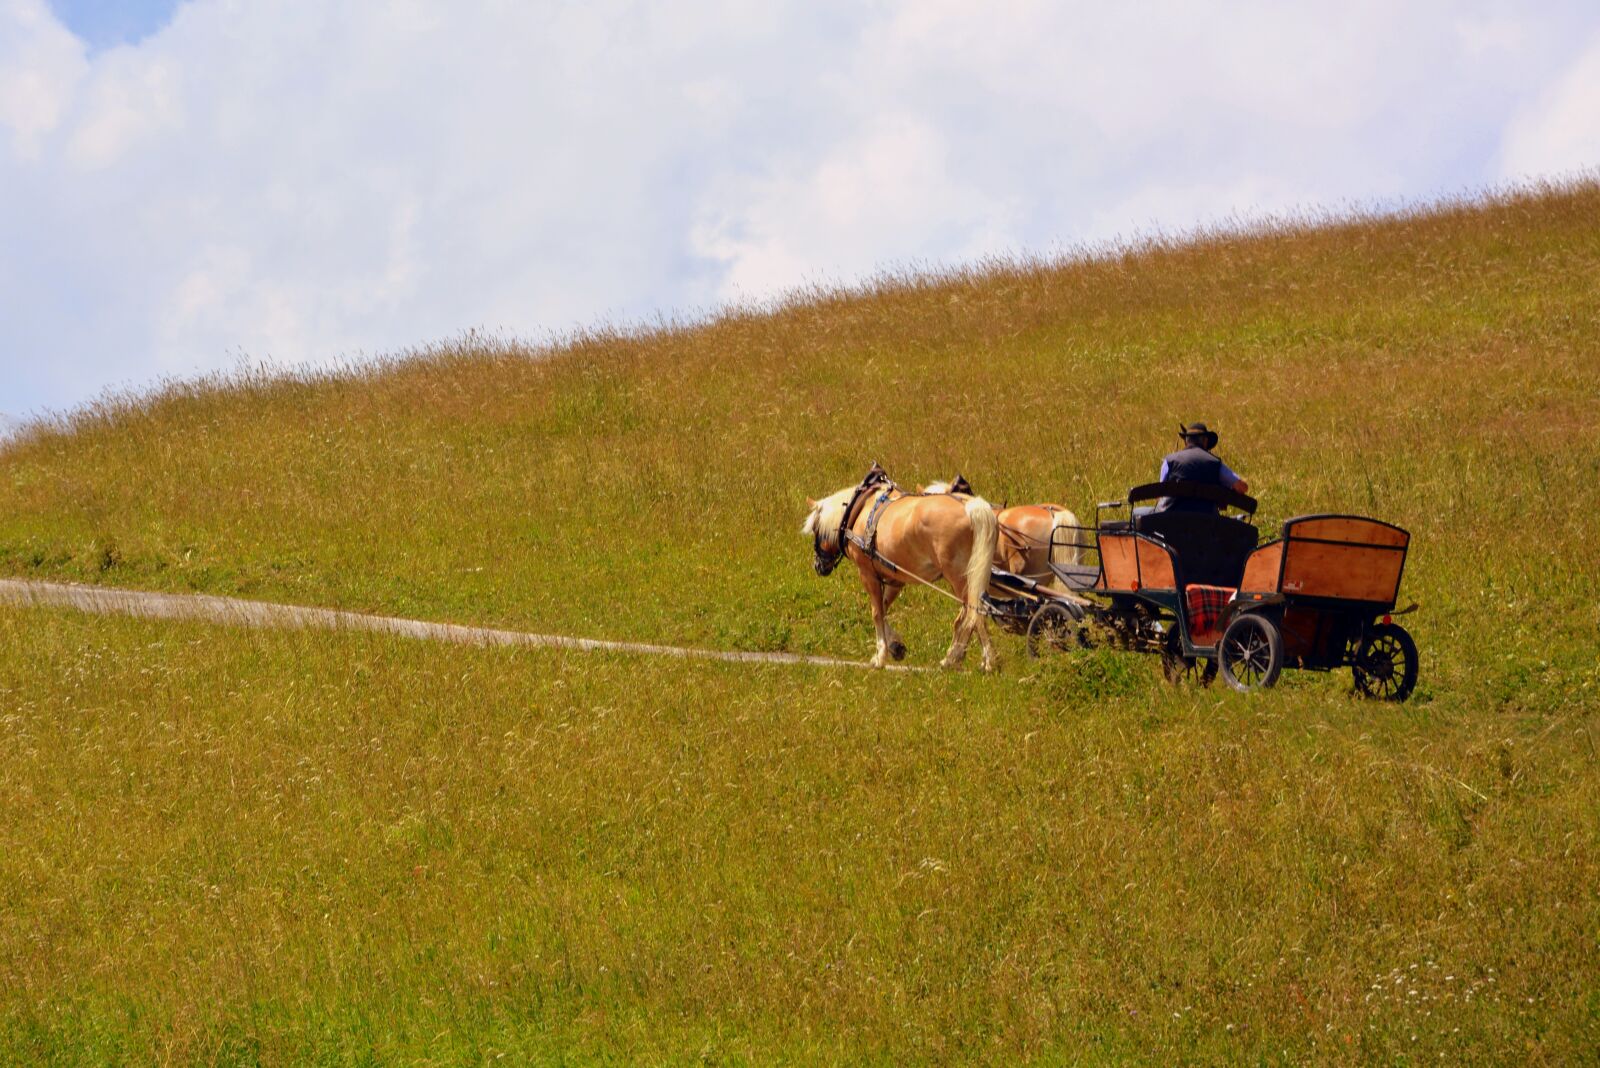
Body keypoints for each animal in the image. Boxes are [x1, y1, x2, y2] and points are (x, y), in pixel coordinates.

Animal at [803, 474, 999, 671]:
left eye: (815, 528)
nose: (819, 566)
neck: (859, 511)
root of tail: (970, 506)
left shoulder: (867, 574)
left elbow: (876, 613)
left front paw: (880, 656)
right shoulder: (896, 579)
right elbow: (883, 609)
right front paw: (895, 646)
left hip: (961, 579)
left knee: (975, 612)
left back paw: (985, 660)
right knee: (968, 616)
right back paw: (957, 657)